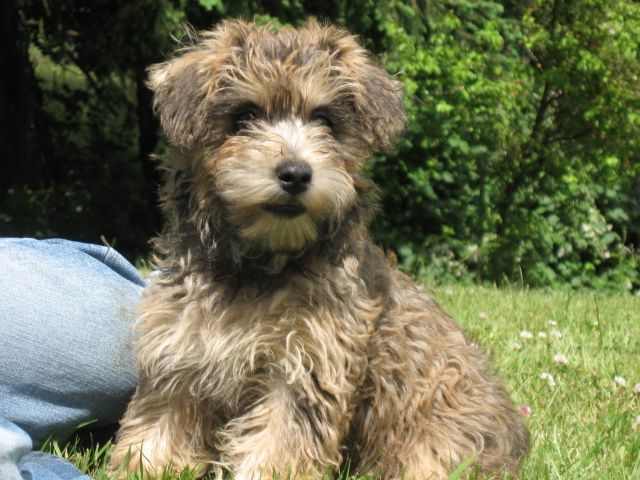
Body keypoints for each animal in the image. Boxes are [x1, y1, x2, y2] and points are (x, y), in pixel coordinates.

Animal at [110, 18, 528, 480]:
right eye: (245, 115)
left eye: (325, 120)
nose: (295, 173)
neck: (258, 265)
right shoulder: (179, 346)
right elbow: (161, 419)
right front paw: (145, 464)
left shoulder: (306, 366)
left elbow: (278, 441)